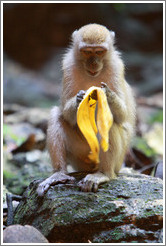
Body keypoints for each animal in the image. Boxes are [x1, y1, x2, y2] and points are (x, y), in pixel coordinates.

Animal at [37, 24, 136, 195]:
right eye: (87, 51)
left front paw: (107, 94)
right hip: (81, 156)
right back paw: (59, 173)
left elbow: (123, 116)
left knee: (109, 123)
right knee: (57, 115)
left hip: (118, 161)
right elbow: (66, 114)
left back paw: (103, 174)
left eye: (100, 51)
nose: (93, 63)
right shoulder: (68, 66)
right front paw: (79, 98)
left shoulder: (116, 67)